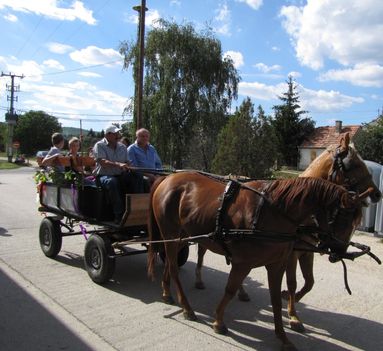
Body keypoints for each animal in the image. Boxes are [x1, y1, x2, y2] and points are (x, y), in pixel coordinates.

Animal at [148, 174, 368, 351]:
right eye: (344, 221)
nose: (339, 253)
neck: (271, 213)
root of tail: (167, 178)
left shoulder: (277, 265)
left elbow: (276, 300)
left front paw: (283, 337)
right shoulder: (242, 263)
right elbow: (230, 290)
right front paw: (218, 321)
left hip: (182, 237)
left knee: (169, 263)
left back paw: (167, 293)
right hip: (171, 234)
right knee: (174, 268)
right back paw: (187, 308)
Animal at [196, 132, 382, 332]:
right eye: (355, 164)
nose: (378, 194)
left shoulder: (306, 252)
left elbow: (309, 282)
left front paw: (290, 301)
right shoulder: (291, 254)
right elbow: (293, 283)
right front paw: (293, 315)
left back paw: (242, 291)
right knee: (201, 251)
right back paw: (199, 280)